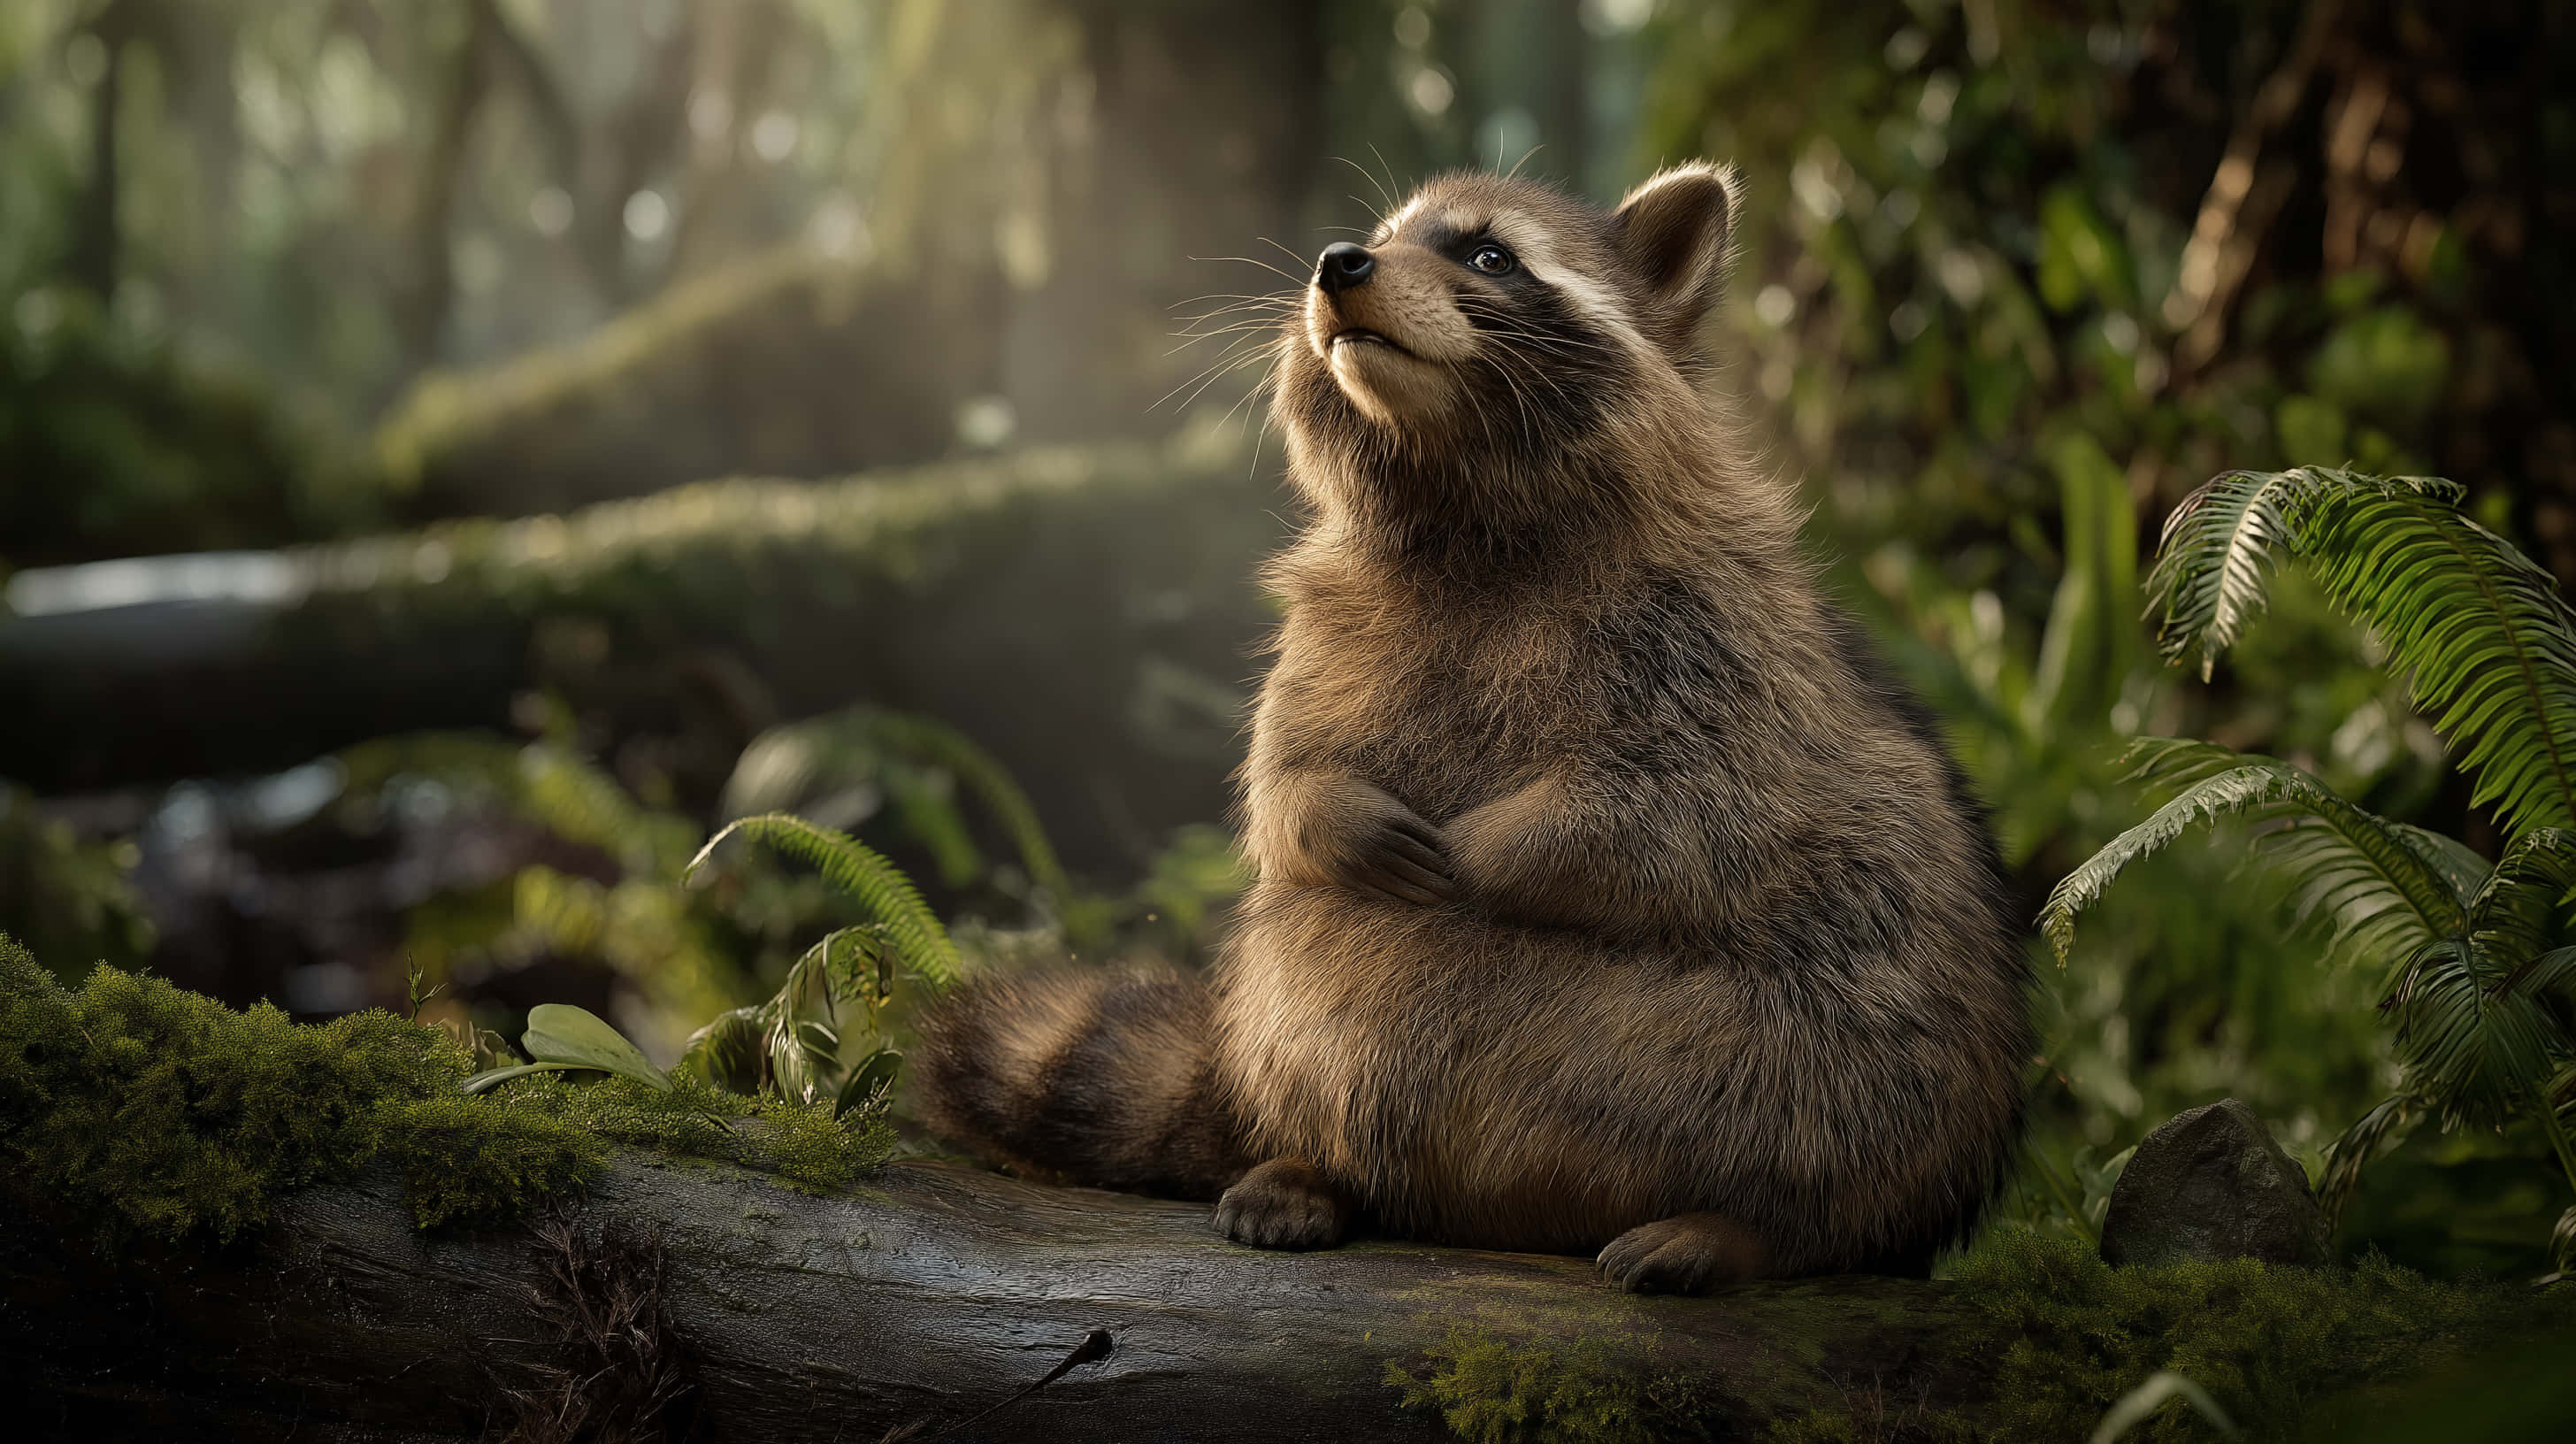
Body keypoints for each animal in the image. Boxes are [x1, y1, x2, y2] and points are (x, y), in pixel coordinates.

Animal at [911, 163, 2031, 1291]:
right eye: (1378, 236)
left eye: (1487, 255)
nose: (1338, 262)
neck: (1452, 491)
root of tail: (1508, 1211)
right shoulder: (1320, 630)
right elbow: (1281, 780)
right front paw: (1327, 816)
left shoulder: (1721, 637)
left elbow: (1681, 808)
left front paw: (1502, 851)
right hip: (1293, 1024)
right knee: (1303, 963)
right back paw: (1316, 1170)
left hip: (1901, 1038)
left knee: (1858, 1109)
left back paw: (1743, 1228)